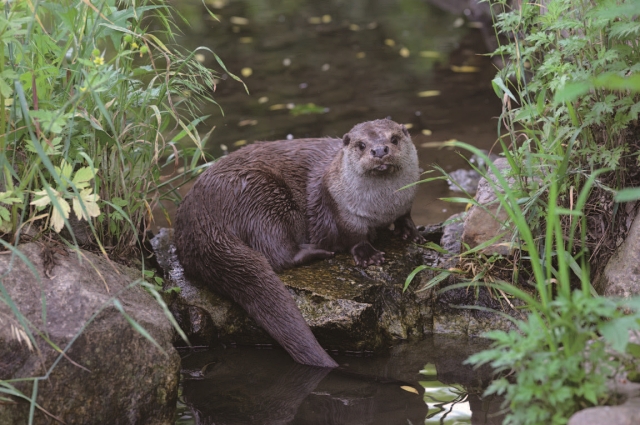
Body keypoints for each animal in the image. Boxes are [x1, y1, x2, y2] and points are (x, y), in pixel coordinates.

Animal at [174, 118, 424, 368]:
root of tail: (198, 217)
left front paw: (410, 231)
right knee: (276, 254)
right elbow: (353, 236)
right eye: (361, 145)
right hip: (261, 196)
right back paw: (318, 251)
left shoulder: (406, 200)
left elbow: (405, 215)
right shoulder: (342, 211)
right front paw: (368, 254)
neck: (382, 209)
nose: (380, 150)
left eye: (394, 139)